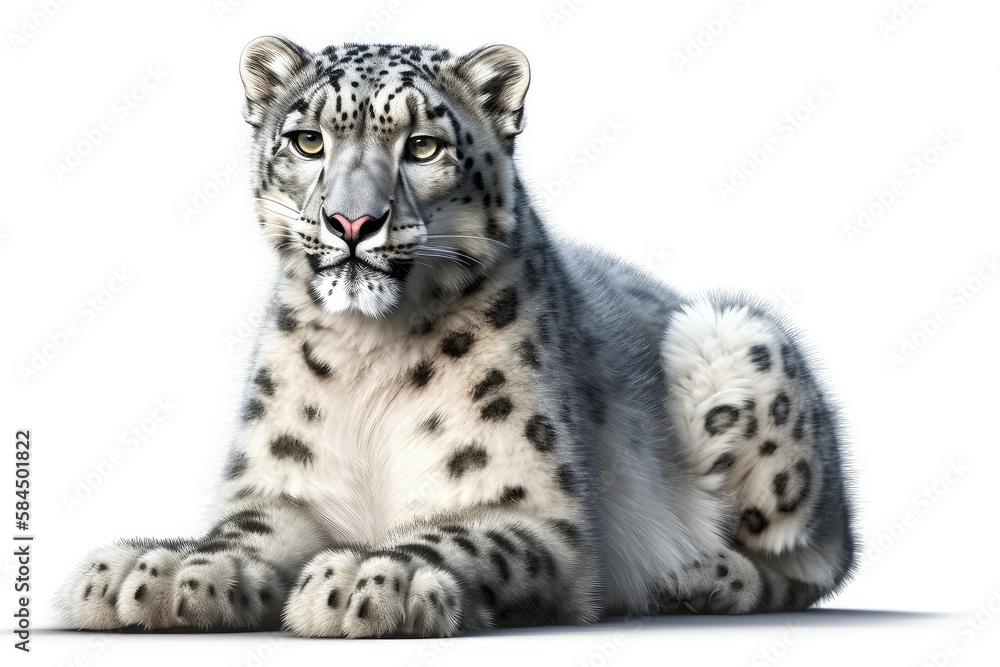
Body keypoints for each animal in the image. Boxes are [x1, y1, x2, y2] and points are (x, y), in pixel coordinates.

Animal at [60, 36, 857, 637]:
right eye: (308, 140)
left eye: (422, 146)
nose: (353, 222)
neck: (368, 351)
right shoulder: (283, 486)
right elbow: (242, 533)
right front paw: (160, 568)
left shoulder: (530, 505)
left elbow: (463, 532)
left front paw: (372, 574)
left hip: (738, 341)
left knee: (812, 559)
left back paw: (697, 577)